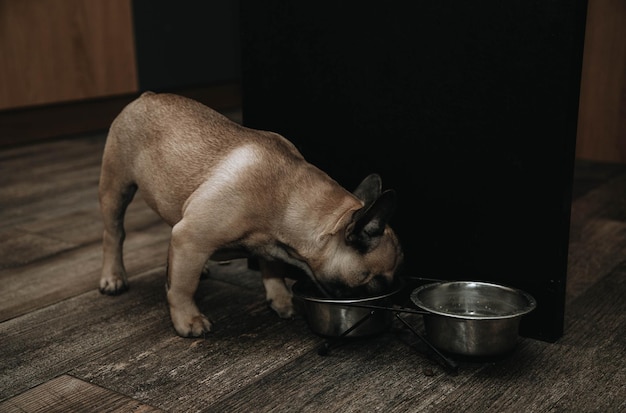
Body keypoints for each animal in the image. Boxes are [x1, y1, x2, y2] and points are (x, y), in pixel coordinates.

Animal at [97, 91, 400, 336]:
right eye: (378, 283)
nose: (390, 300)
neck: (287, 198)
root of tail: (145, 96)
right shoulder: (191, 237)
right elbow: (184, 287)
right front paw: (188, 319)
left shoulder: (266, 244)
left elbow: (272, 268)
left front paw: (280, 299)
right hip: (116, 186)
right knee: (114, 234)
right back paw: (113, 277)